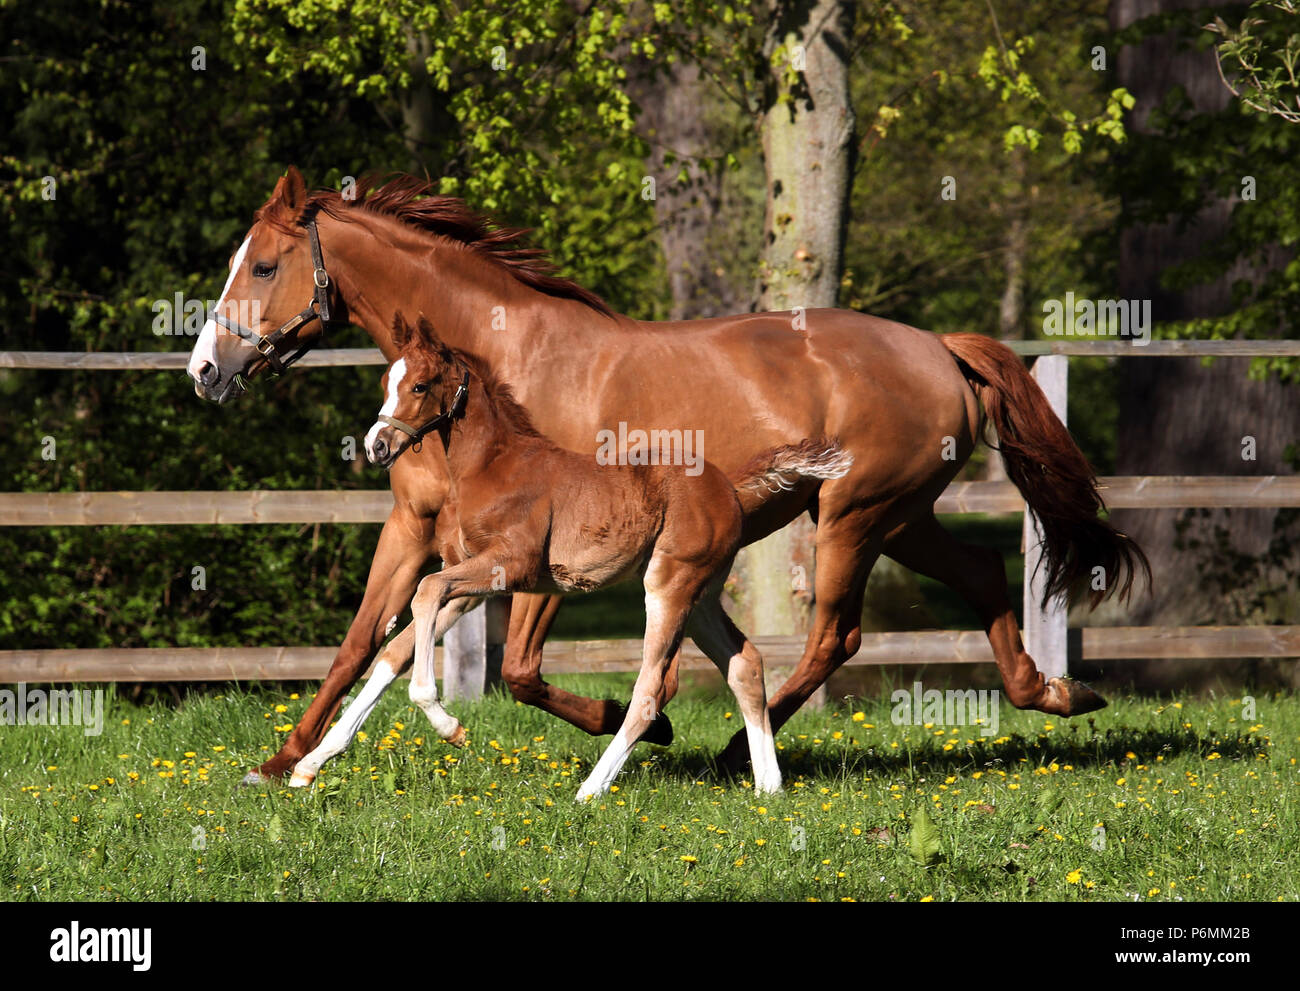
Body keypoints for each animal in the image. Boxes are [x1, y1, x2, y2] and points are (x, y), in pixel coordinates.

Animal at [313, 314, 852, 795]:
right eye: (386, 380)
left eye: (421, 386)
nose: (377, 446)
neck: (490, 468)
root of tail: (732, 490)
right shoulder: (470, 582)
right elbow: (400, 643)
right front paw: (312, 762)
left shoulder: (509, 566)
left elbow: (424, 592)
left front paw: (449, 726)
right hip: (700, 596)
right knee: (745, 665)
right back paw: (768, 786)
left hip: (670, 587)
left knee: (651, 689)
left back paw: (591, 789)